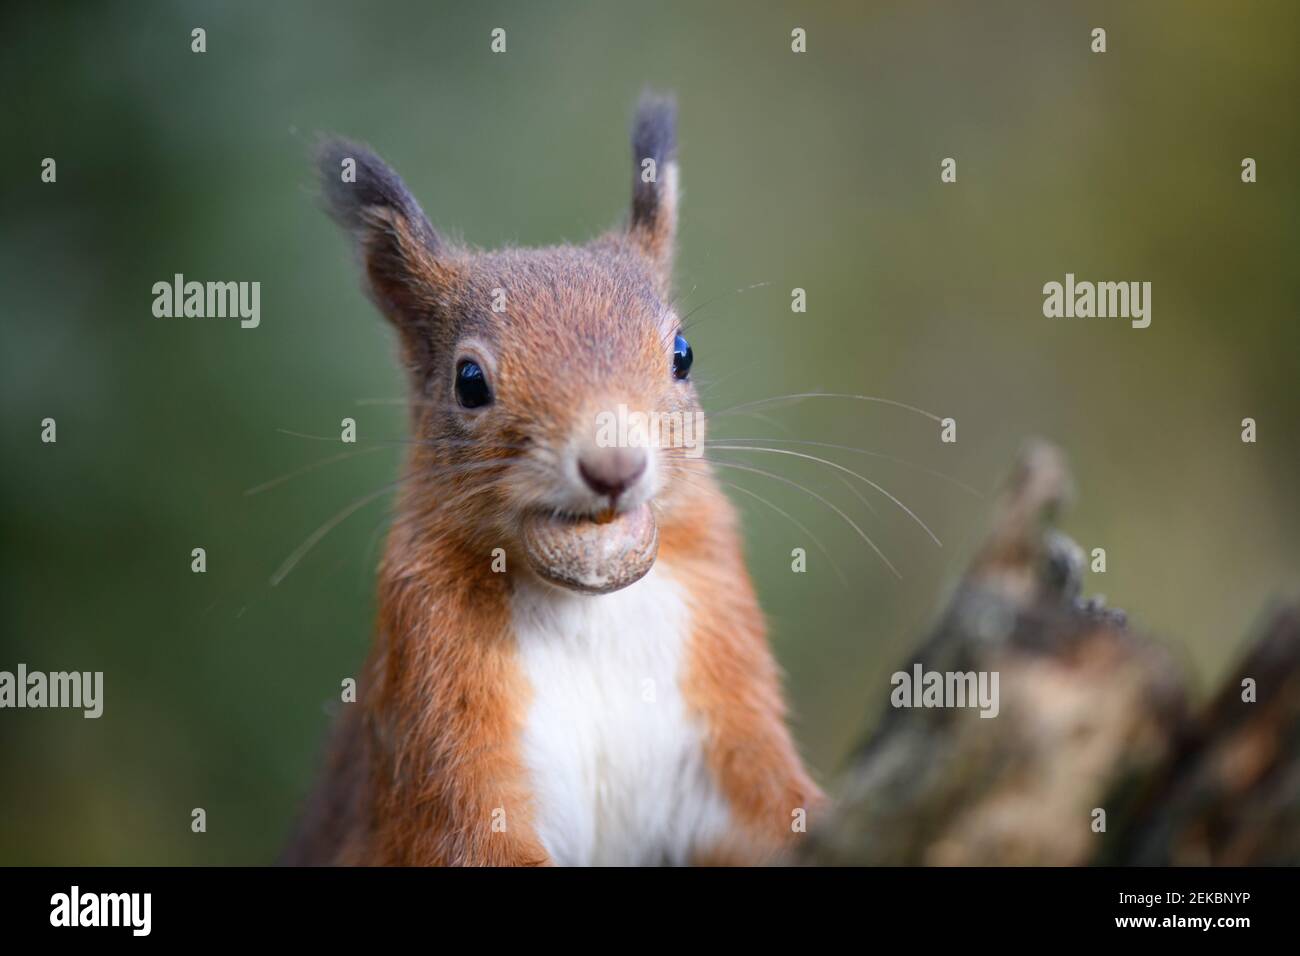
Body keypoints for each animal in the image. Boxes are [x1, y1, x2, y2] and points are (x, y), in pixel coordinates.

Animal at [281, 94, 823, 866]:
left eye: (683, 353)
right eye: (469, 381)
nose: (613, 465)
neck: (588, 606)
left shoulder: (720, 673)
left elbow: (775, 806)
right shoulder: (436, 708)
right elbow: (470, 837)